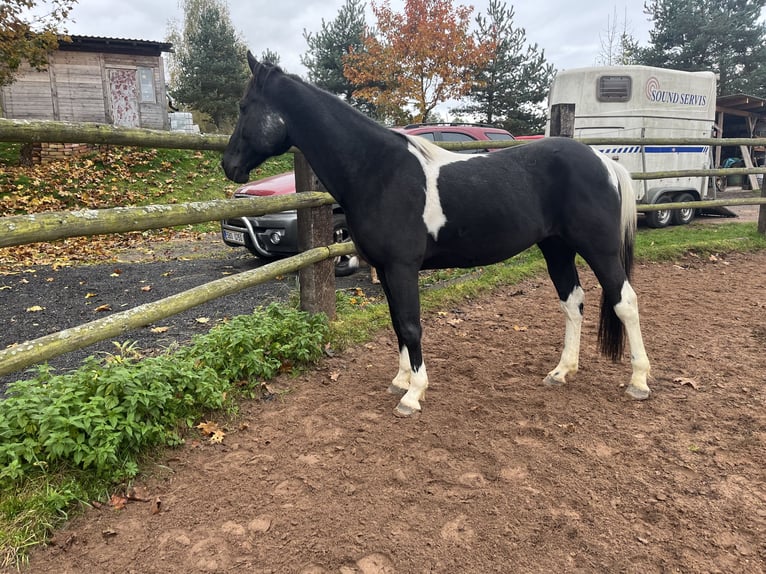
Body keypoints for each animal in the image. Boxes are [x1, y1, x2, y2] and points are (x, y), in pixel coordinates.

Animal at [223, 52, 652, 417]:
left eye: (244, 108)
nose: (229, 166)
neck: (378, 171)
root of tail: (604, 162)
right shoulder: (386, 270)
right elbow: (397, 322)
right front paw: (400, 381)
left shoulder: (401, 267)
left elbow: (412, 324)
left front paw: (414, 394)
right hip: (556, 248)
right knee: (572, 301)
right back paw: (562, 372)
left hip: (599, 249)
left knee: (625, 301)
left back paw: (639, 381)